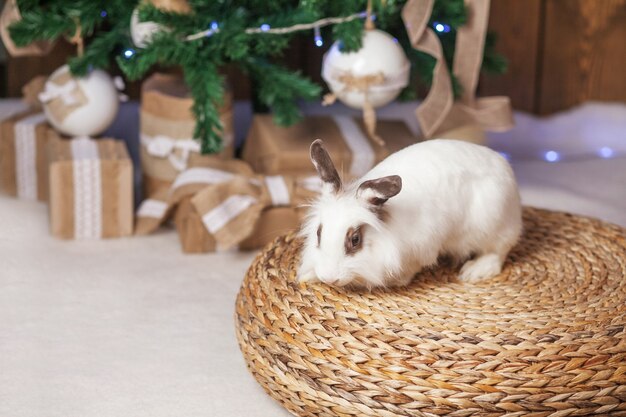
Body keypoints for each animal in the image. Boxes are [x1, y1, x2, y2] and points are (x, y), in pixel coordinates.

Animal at [298, 138, 520, 288]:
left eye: (355, 240)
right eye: (318, 234)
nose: (329, 278)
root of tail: (503, 165)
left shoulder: (421, 250)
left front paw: (396, 281)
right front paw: (307, 276)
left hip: (493, 225)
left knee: (498, 251)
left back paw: (475, 270)